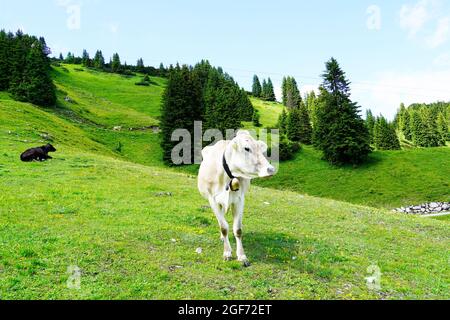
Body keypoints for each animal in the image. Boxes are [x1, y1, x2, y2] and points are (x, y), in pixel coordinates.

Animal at [199, 129, 276, 266]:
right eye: (247, 148)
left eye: (260, 148)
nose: (271, 169)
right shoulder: (212, 200)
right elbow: (224, 227)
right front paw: (227, 252)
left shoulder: (239, 200)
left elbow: (238, 229)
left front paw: (242, 256)